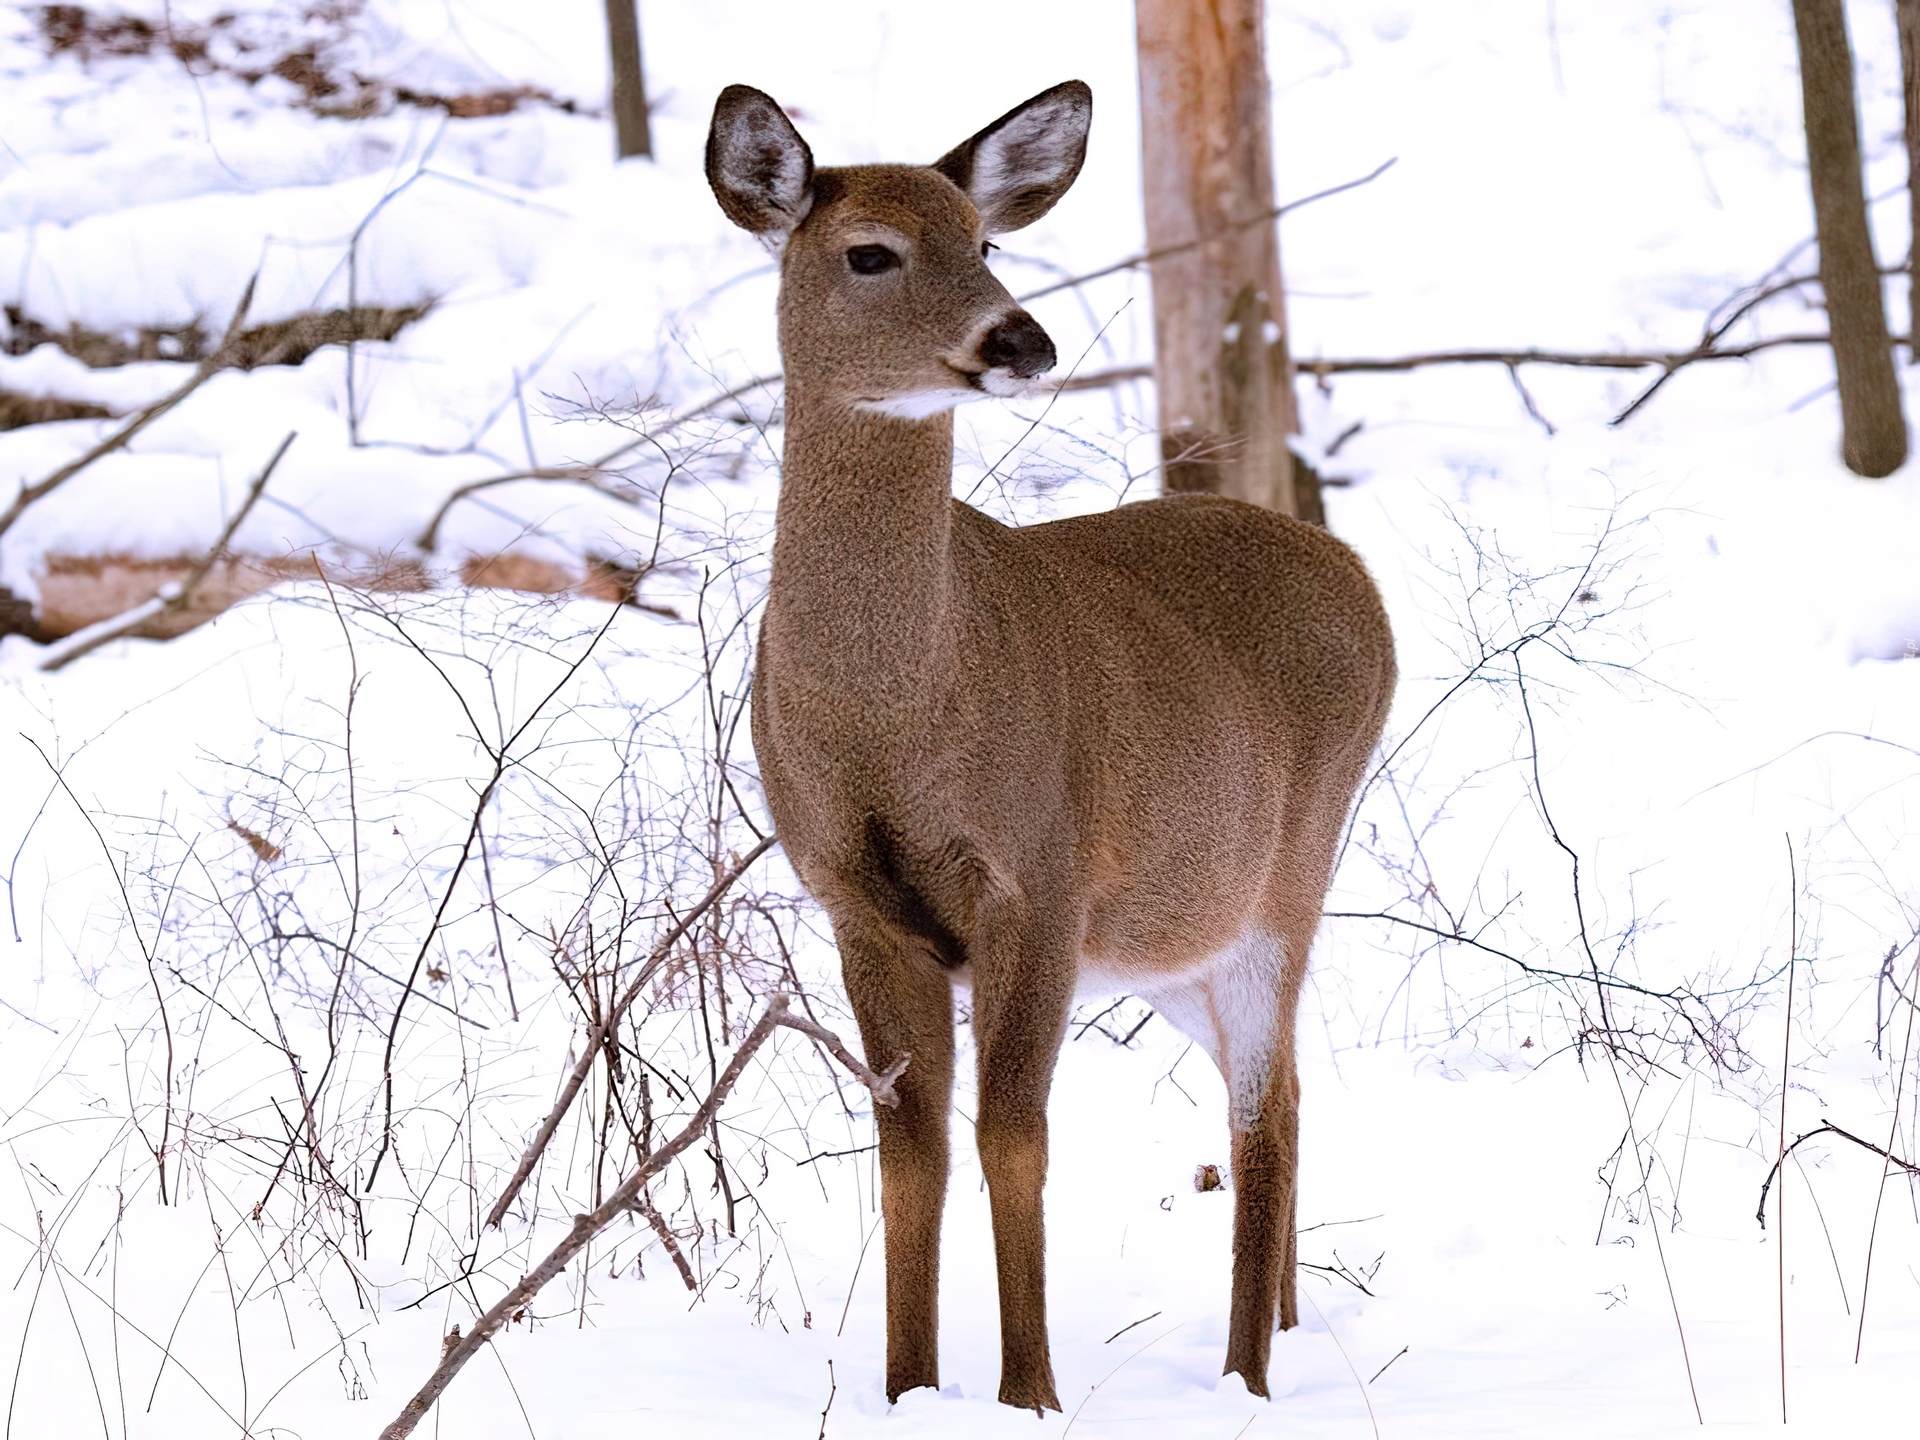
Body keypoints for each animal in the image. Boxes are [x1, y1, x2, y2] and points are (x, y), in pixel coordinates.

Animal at [706, 76, 1397, 1413]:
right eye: (870, 251)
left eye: (987, 242)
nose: (1021, 341)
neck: (891, 722)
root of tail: (1358, 576)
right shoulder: (856, 904)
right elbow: (910, 1150)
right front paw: (907, 1390)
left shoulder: (1041, 874)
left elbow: (1012, 1138)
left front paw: (1030, 1392)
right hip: (1178, 938)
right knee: (1288, 1091)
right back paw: (1284, 1333)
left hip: (1286, 878)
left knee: (1262, 1119)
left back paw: (1244, 1378)